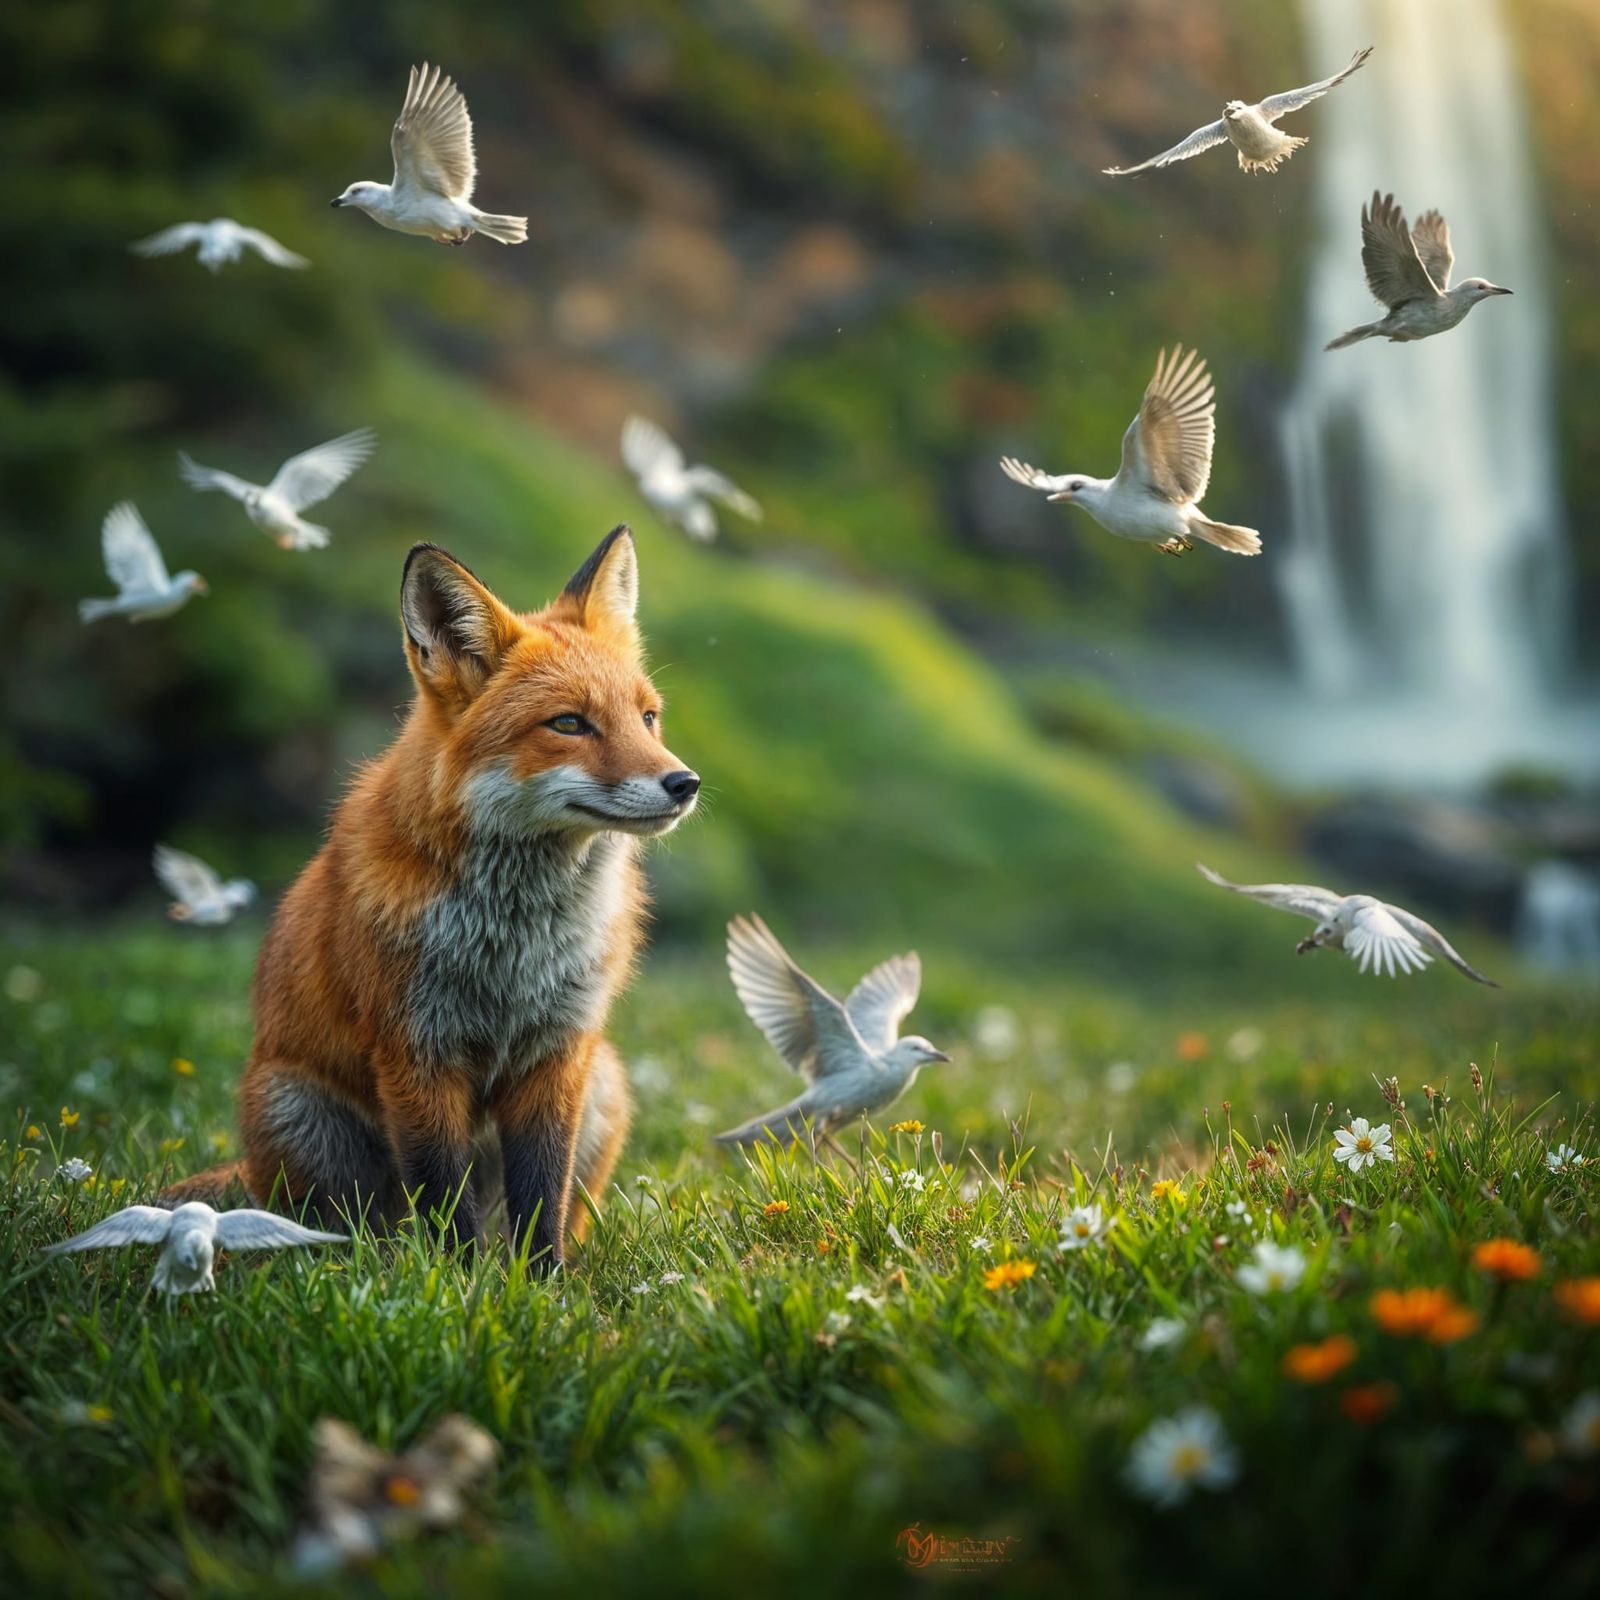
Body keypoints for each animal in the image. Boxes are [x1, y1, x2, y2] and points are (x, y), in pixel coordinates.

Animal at [165, 526, 699, 1270]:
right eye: (569, 724)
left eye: (648, 718)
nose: (685, 783)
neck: (513, 939)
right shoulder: (416, 1052)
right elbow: (445, 1198)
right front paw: (462, 1285)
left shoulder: (556, 1052)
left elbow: (543, 1194)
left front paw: (545, 1287)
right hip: (302, 1117)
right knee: (355, 1232)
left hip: (606, 1081)